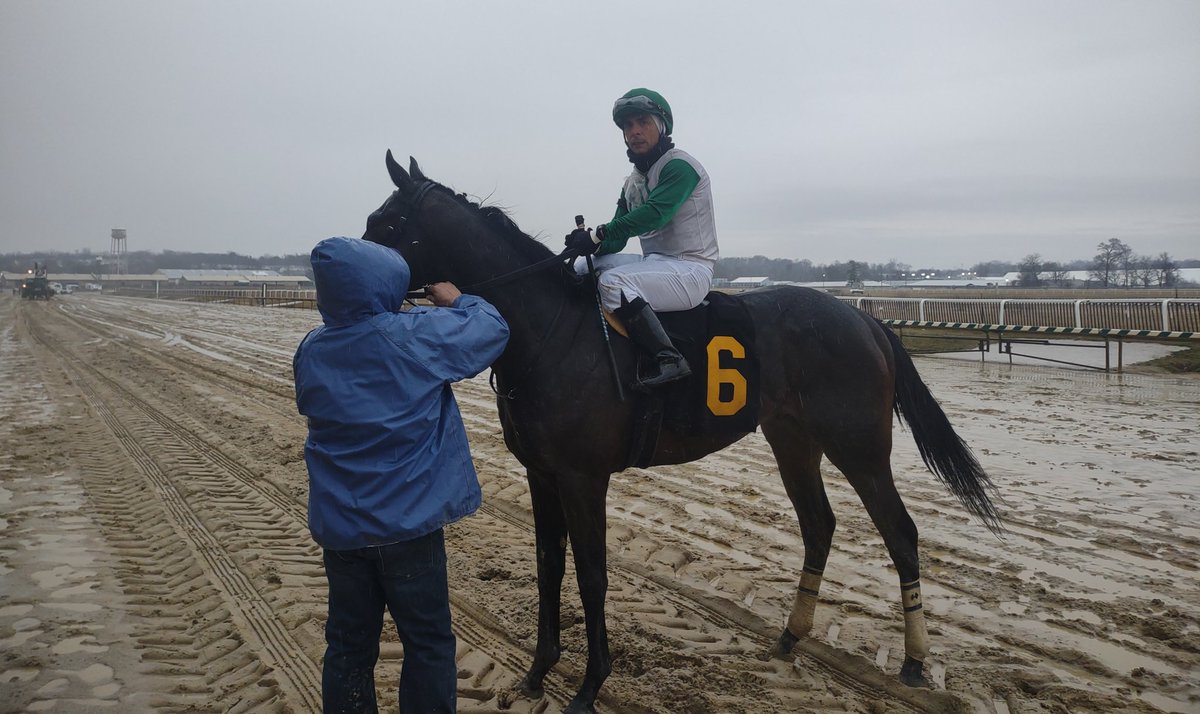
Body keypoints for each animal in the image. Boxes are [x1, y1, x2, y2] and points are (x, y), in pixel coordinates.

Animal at [364, 152, 1003, 714]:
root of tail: (866, 320)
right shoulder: (540, 475)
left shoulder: (582, 479)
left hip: (861, 446)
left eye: (389, 223)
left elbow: (592, 575)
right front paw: (536, 674)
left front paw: (589, 686)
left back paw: (915, 662)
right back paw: (791, 636)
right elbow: (549, 568)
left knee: (900, 532)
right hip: (793, 439)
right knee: (819, 525)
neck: (550, 331)